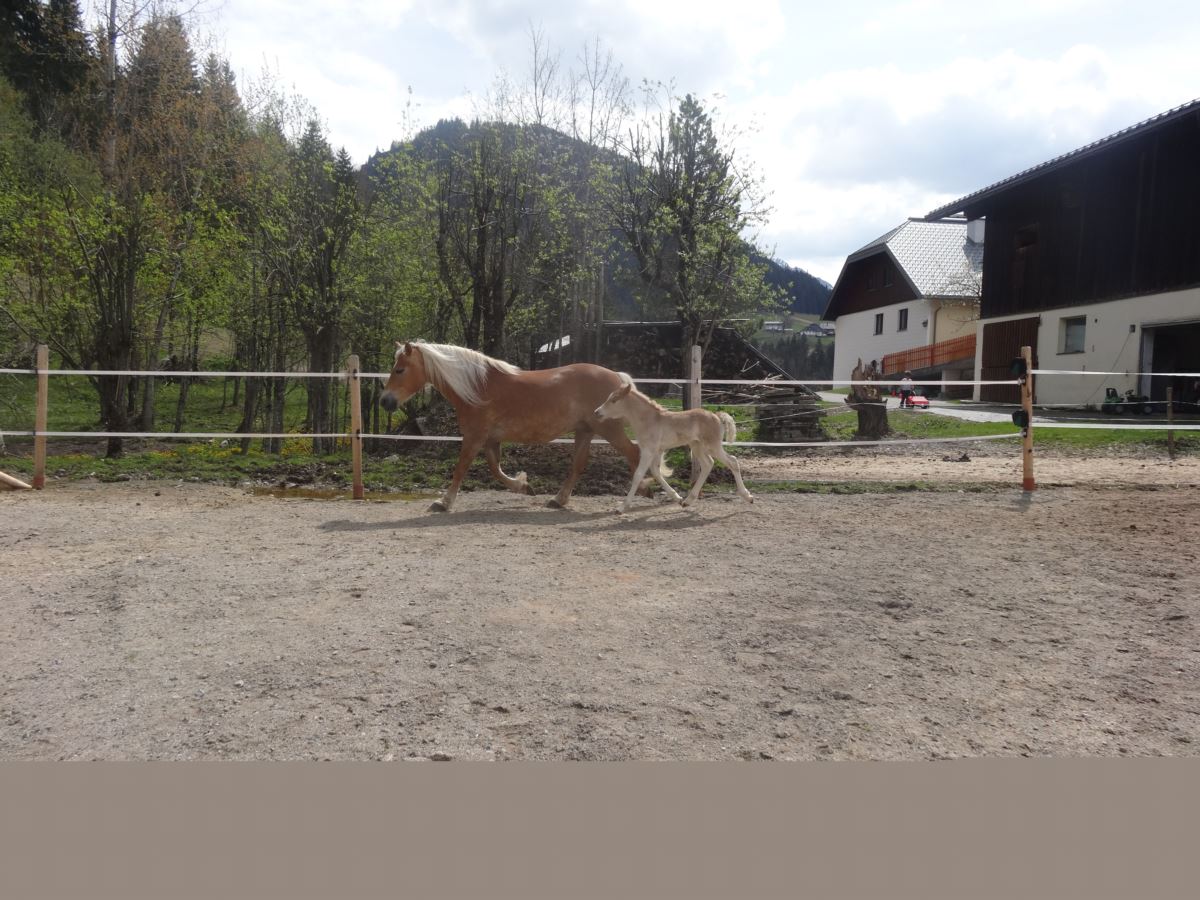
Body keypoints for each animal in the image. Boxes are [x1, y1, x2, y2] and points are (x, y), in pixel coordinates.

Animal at [381, 340, 648, 511]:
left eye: (400, 369)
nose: (385, 401)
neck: (477, 387)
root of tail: (619, 379)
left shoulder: (474, 437)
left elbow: (461, 468)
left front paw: (443, 503)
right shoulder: (489, 440)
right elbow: (495, 470)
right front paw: (523, 485)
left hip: (609, 430)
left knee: (635, 454)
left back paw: (646, 490)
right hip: (585, 430)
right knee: (578, 465)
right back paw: (558, 500)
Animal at [590, 374, 748, 513]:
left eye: (614, 400)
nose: (597, 412)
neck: (649, 420)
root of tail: (717, 416)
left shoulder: (648, 450)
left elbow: (638, 475)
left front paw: (622, 508)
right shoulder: (657, 451)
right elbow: (656, 472)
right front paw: (677, 498)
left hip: (712, 446)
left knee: (733, 462)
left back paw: (748, 496)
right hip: (697, 446)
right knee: (708, 464)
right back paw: (688, 501)